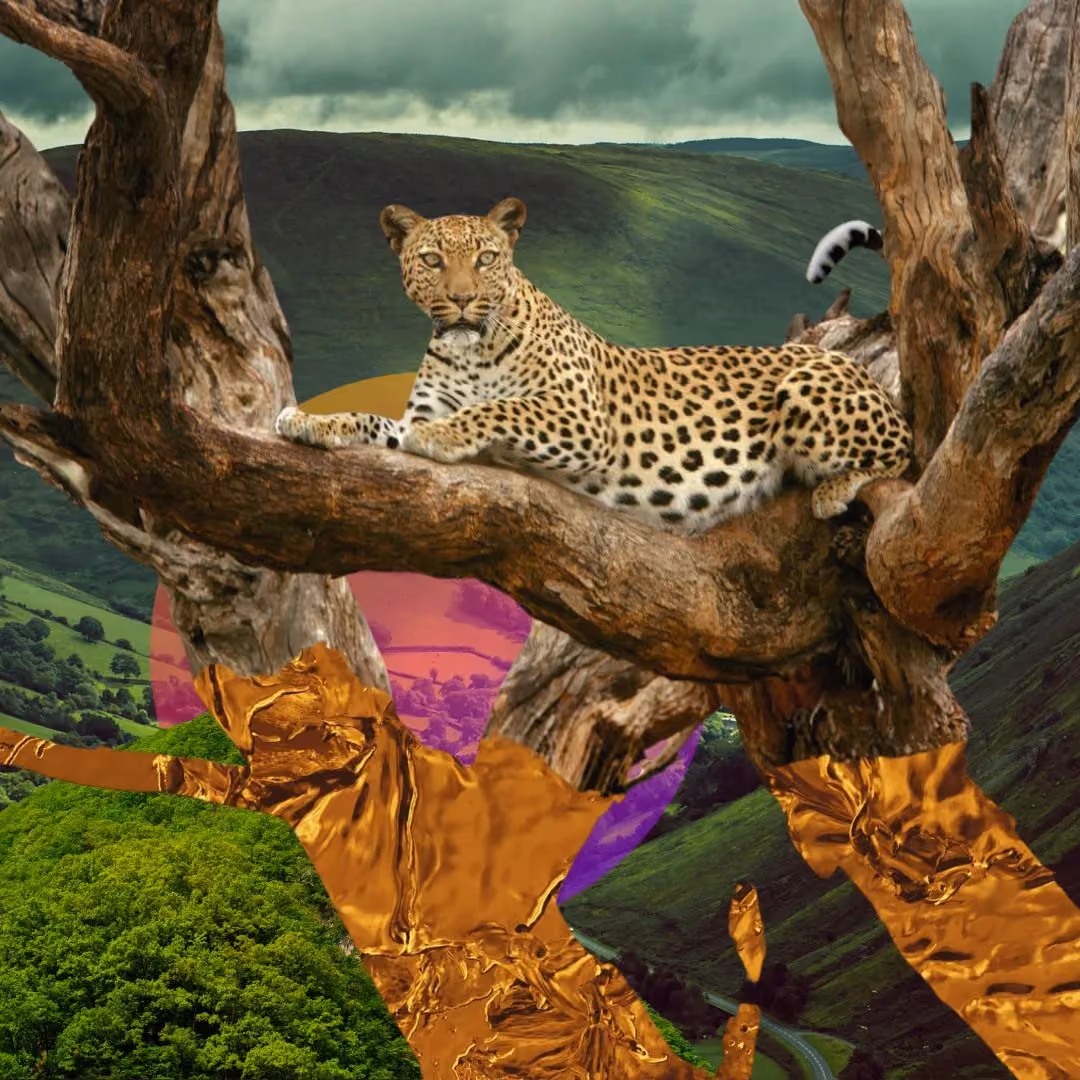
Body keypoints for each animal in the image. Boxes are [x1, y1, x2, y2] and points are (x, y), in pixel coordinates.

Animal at [275, 197, 913, 535]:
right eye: (432, 260)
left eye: (486, 258)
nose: (459, 300)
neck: (469, 349)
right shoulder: (417, 414)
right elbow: (379, 423)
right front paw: (310, 421)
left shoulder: (581, 420)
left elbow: (498, 409)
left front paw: (446, 435)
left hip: (805, 387)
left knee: (902, 454)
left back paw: (835, 488)